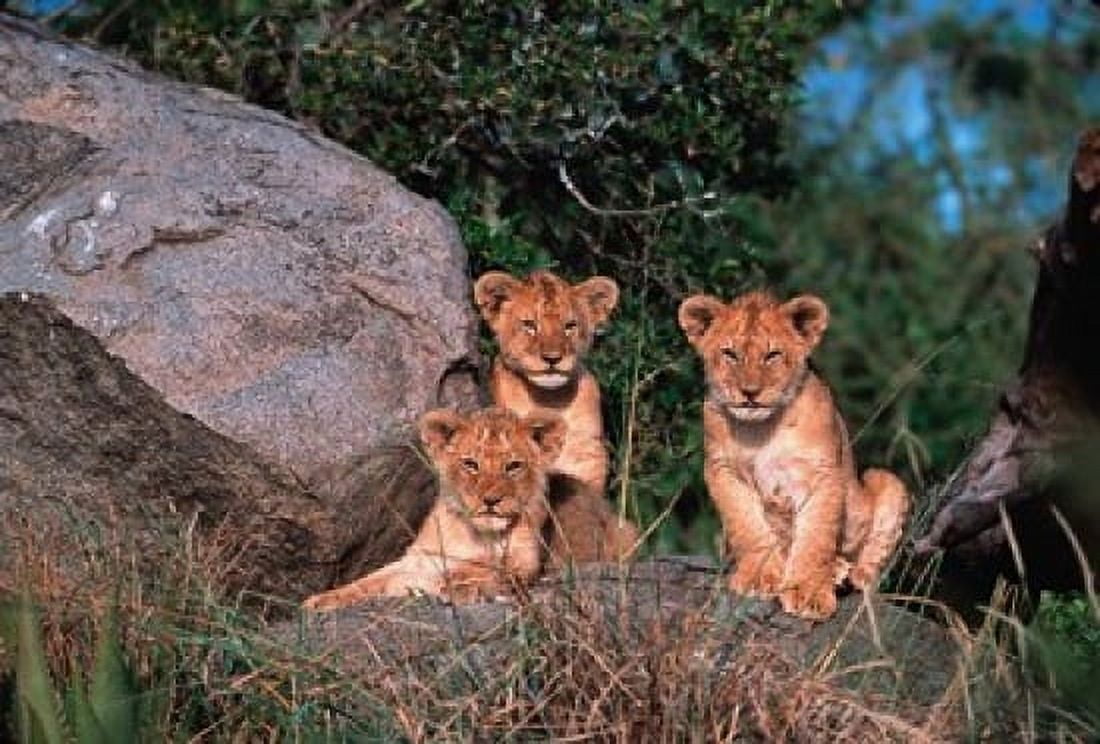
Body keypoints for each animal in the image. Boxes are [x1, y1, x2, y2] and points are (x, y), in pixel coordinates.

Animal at [302, 407, 565, 610]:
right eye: (471, 464)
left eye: (513, 466)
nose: (491, 500)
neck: (477, 535)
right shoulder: (420, 558)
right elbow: (367, 581)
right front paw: (321, 600)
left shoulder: (526, 561)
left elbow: (492, 569)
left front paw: (458, 584)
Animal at [678, 290, 909, 620]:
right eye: (730, 354)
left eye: (772, 354)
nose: (749, 392)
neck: (760, 430)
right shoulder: (722, 471)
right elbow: (748, 527)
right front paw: (759, 577)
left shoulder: (823, 474)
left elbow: (815, 537)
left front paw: (809, 594)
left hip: (885, 481)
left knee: (869, 566)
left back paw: (847, 573)